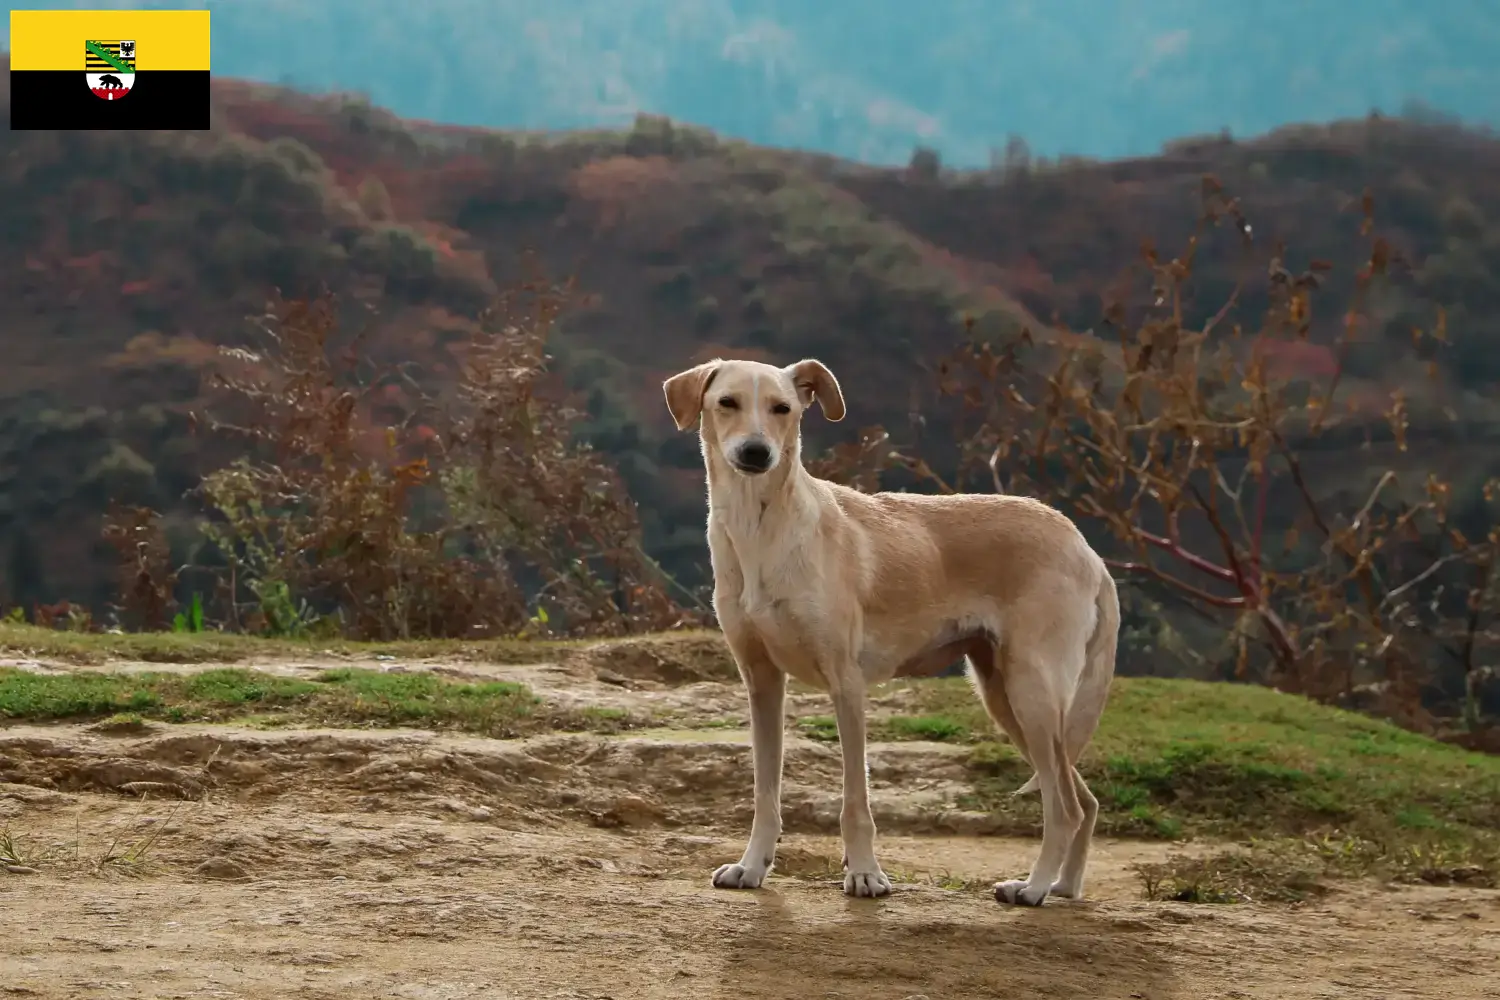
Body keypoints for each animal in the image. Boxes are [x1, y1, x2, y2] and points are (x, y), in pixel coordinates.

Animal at [663, 355, 1122, 905]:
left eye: (782, 409)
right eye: (726, 403)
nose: (757, 452)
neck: (763, 529)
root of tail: (1085, 548)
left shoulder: (847, 685)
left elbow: (855, 802)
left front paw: (865, 874)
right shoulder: (762, 683)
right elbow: (765, 794)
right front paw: (753, 867)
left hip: (1032, 692)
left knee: (1065, 806)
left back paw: (1032, 889)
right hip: (1006, 697)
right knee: (1085, 800)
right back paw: (1063, 887)